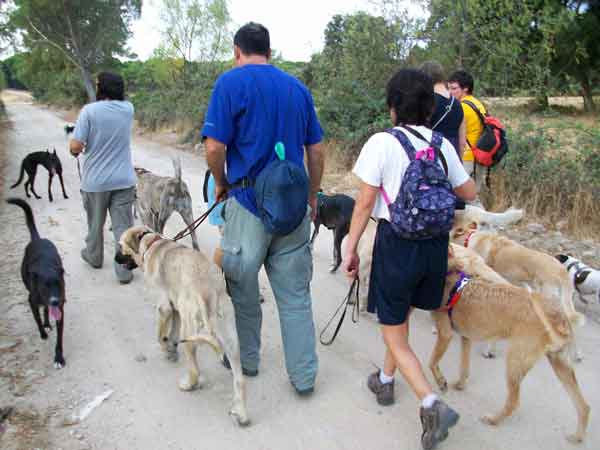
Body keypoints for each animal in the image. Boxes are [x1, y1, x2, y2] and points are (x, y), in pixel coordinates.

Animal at [7, 199, 66, 368]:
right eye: (45, 286)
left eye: (59, 283)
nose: (55, 301)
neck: (46, 268)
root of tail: (37, 239)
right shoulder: (32, 301)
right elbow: (37, 319)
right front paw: (43, 333)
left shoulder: (60, 309)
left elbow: (59, 338)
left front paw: (58, 358)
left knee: (46, 309)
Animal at [116, 227, 250, 428]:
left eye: (120, 246)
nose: (115, 259)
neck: (151, 243)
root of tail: (207, 290)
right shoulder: (176, 308)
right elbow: (171, 332)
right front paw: (171, 347)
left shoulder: (164, 307)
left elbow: (160, 335)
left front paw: (166, 349)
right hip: (230, 337)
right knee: (239, 379)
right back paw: (242, 414)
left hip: (190, 333)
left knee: (194, 369)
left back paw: (188, 385)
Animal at [428, 251, 588, 444]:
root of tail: (557, 318)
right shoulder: (466, 338)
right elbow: (464, 369)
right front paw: (459, 385)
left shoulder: (446, 334)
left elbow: (432, 362)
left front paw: (441, 382)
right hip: (560, 365)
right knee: (584, 406)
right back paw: (578, 436)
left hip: (514, 362)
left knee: (513, 402)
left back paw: (493, 419)